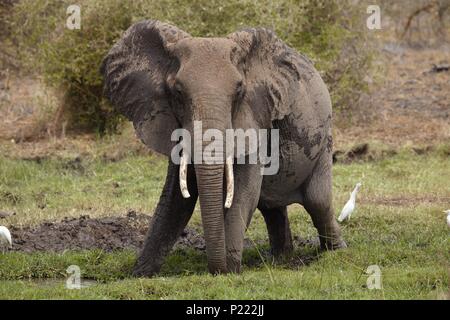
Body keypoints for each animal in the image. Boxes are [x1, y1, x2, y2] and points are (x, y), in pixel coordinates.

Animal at [102, 19, 346, 276]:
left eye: (239, 89)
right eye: (177, 91)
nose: (216, 271)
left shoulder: (255, 116)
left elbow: (243, 192)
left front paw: (228, 271)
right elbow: (176, 198)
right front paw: (139, 273)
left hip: (324, 138)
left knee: (317, 200)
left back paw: (334, 252)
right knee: (272, 207)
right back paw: (281, 259)